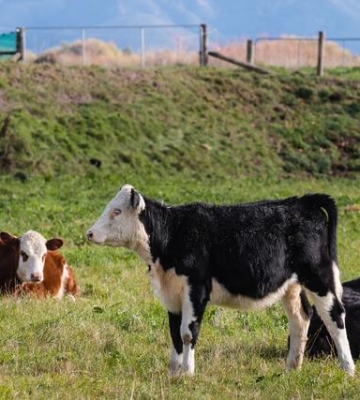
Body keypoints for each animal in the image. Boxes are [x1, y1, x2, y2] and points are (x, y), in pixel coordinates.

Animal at [86, 186, 354, 376]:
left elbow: (187, 332)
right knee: (301, 318)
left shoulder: (196, 288)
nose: (89, 233)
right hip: (291, 285)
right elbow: (174, 333)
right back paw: (291, 368)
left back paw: (348, 369)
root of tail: (302, 202)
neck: (174, 233)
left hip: (318, 275)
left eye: (117, 211)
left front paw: (188, 373)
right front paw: (173, 373)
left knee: (334, 315)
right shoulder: (171, 292)